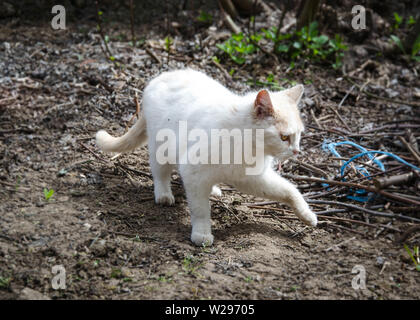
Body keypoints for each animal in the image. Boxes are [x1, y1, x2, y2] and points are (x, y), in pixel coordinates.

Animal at [97, 69, 316, 246]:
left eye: (299, 135)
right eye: (284, 137)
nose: (296, 151)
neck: (247, 144)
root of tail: (161, 76)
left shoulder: (253, 179)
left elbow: (289, 191)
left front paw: (307, 215)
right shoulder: (193, 171)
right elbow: (201, 209)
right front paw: (201, 234)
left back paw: (214, 189)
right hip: (161, 149)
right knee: (160, 174)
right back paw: (164, 195)